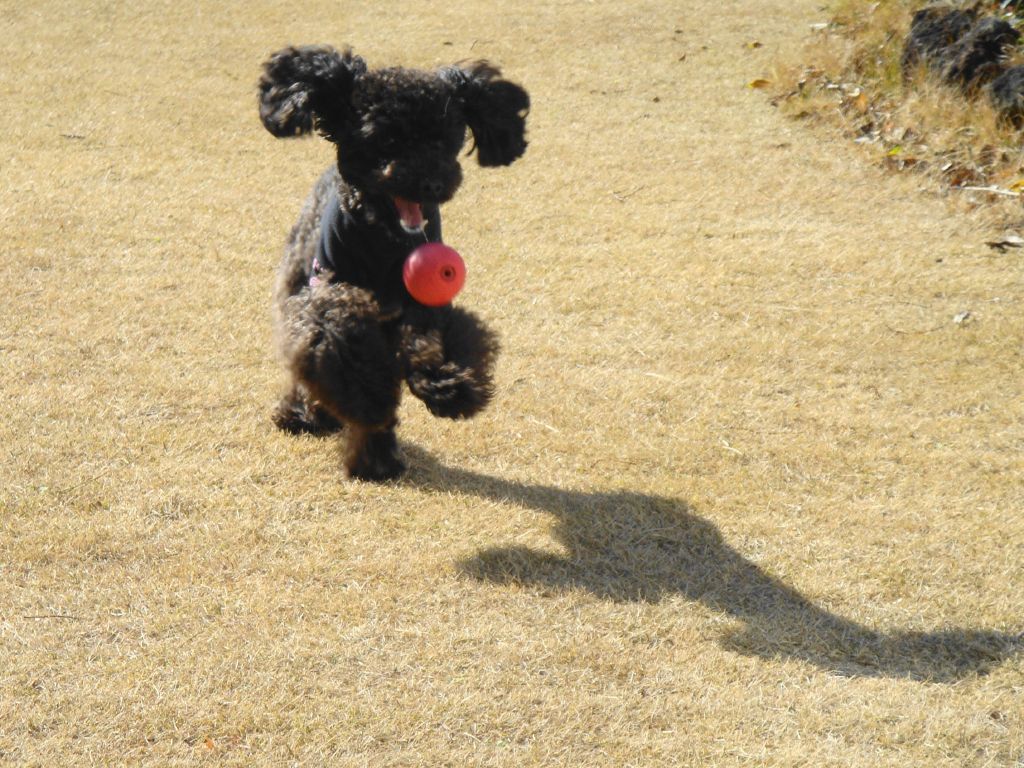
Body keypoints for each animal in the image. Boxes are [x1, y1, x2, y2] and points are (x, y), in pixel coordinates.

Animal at [257, 45, 529, 481]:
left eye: (443, 140)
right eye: (386, 138)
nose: (432, 183)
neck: (382, 241)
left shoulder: (424, 303)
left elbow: (437, 338)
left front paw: (449, 386)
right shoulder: (325, 295)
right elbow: (339, 346)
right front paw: (370, 403)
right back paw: (306, 415)